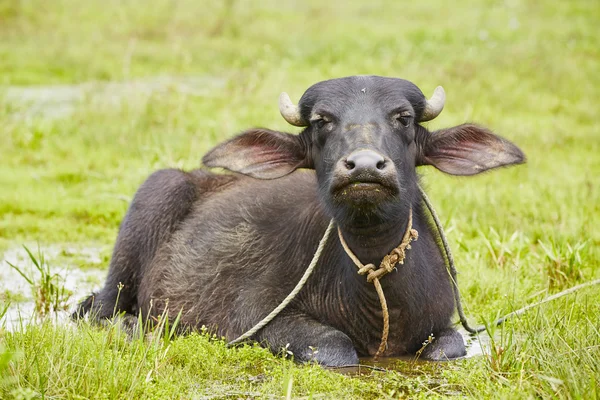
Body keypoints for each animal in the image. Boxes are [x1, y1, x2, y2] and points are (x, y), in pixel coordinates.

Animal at [76, 76, 524, 368]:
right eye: (322, 121)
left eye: (404, 118)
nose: (365, 166)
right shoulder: (257, 320)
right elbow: (334, 347)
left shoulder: (442, 320)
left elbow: (449, 345)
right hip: (152, 201)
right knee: (100, 311)